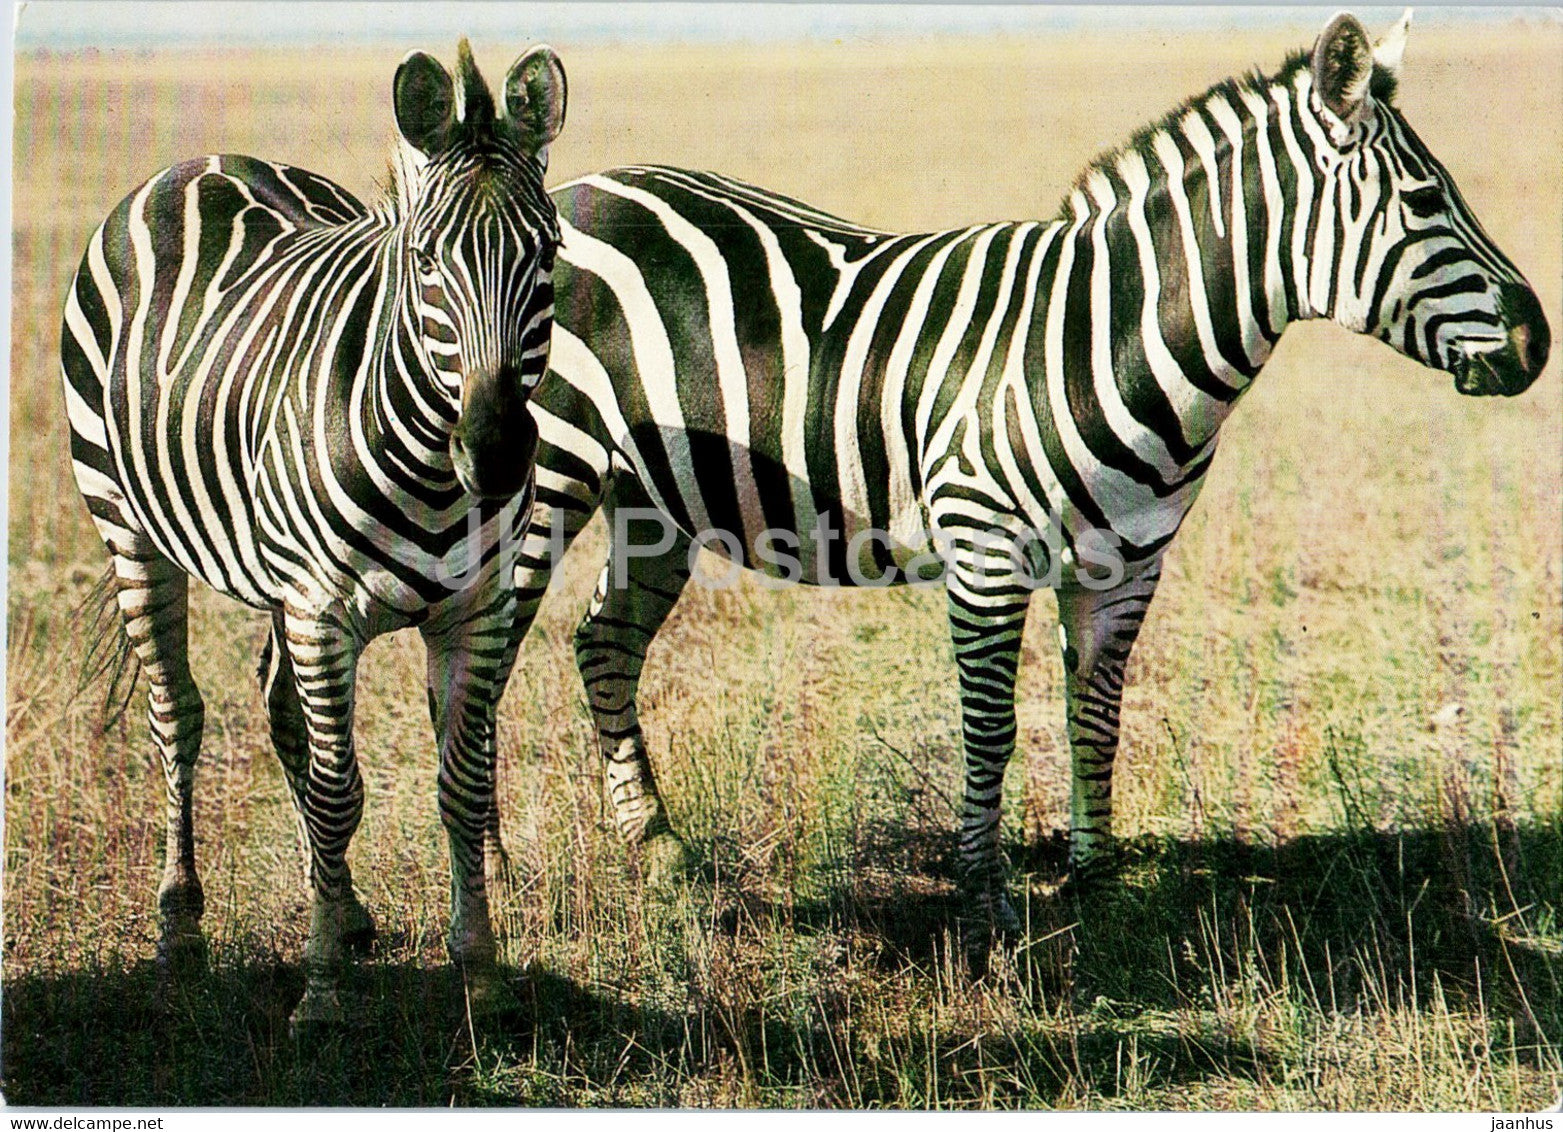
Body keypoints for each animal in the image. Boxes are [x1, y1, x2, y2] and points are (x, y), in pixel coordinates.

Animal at [61, 40, 566, 1025]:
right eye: (425, 262)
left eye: (548, 253)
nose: (494, 450)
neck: (429, 471)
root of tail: (203, 162)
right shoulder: (323, 611)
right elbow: (341, 793)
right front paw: (324, 989)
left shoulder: (473, 612)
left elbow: (462, 785)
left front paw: (481, 977)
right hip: (126, 520)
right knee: (177, 713)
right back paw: (181, 929)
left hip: (276, 581)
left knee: (278, 705)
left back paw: (341, 904)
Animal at [500, 10, 1549, 934]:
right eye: (1425, 201)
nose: (1536, 344)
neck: (1104, 342)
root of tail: (576, 188)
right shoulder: (986, 553)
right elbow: (991, 727)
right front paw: (983, 899)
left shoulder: (1126, 569)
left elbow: (1096, 716)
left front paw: (1096, 883)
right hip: (548, 477)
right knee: (492, 647)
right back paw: (500, 869)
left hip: (653, 501)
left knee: (603, 641)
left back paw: (655, 846)